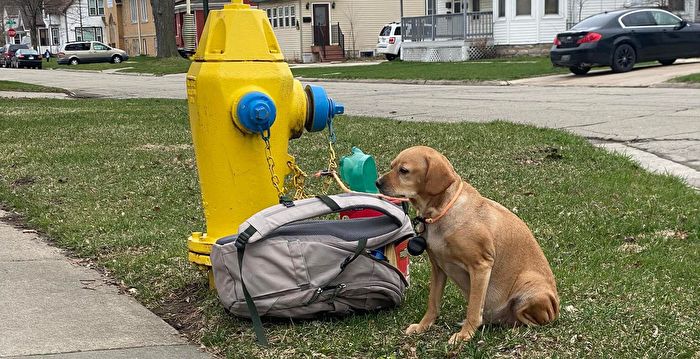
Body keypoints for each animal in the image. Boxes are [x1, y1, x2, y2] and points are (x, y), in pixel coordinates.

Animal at [374, 146, 560, 346]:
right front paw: (423, 326)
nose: (377, 183)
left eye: (404, 170)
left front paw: (465, 335)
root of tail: (556, 306)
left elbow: (473, 308)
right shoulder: (438, 267)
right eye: (392, 166)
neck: (441, 211)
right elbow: (433, 302)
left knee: (532, 321)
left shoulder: (481, 266)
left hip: (529, 287)